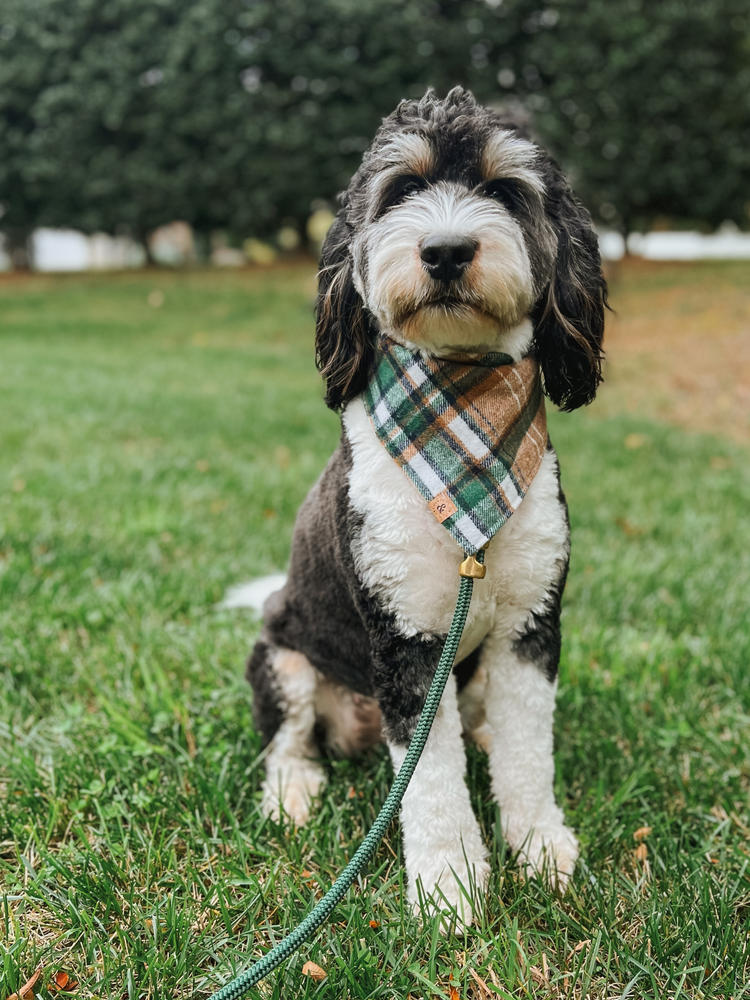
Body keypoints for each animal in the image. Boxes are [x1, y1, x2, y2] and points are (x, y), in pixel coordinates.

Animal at [244, 88, 608, 928]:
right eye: (402, 190)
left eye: (504, 190)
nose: (444, 250)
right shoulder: (406, 638)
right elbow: (430, 782)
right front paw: (448, 884)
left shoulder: (530, 625)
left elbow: (528, 752)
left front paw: (538, 845)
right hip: (279, 655)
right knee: (289, 740)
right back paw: (292, 790)